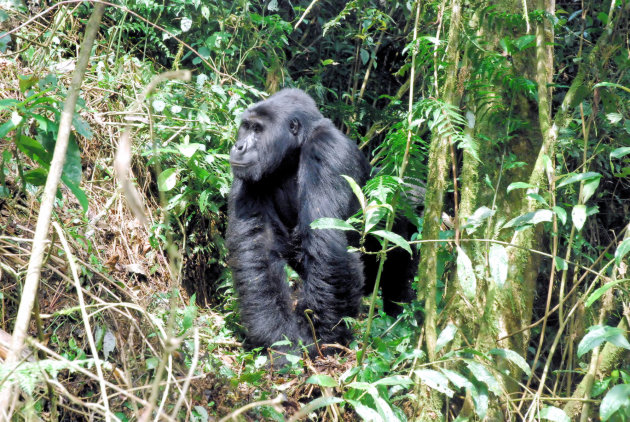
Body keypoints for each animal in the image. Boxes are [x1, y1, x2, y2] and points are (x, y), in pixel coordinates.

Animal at [228, 90, 420, 360]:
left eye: (258, 129)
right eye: (245, 127)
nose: (239, 146)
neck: (293, 152)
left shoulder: (327, 148)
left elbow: (327, 244)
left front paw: (321, 339)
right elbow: (258, 252)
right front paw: (277, 336)